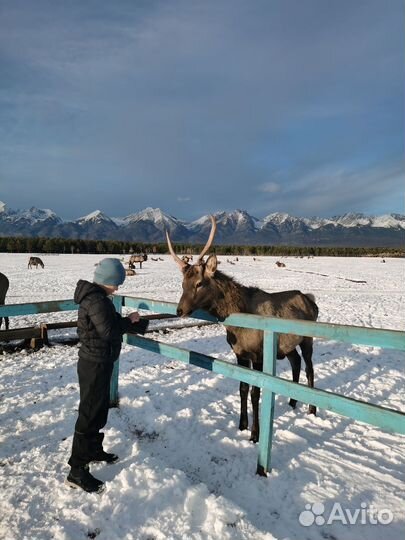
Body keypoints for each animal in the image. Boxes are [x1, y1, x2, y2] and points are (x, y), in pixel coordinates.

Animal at [166, 217, 318, 446]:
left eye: (199, 283)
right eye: (183, 283)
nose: (179, 310)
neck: (237, 323)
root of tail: (312, 301)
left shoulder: (259, 354)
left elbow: (256, 392)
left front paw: (255, 434)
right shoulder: (239, 353)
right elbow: (242, 388)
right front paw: (242, 424)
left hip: (307, 338)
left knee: (309, 367)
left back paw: (312, 409)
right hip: (287, 345)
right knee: (296, 362)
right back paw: (292, 402)